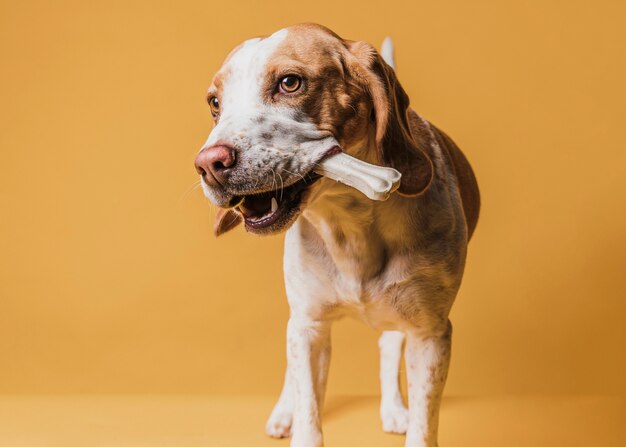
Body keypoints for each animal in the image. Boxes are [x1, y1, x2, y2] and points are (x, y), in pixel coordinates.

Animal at [194, 23, 478, 447]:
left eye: (289, 83)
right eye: (215, 103)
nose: (210, 164)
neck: (351, 223)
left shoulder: (431, 334)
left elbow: (423, 425)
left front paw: (408, 418)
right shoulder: (309, 327)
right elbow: (308, 410)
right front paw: (295, 416)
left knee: (389, 346)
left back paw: (394, 409)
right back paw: (285, 412)